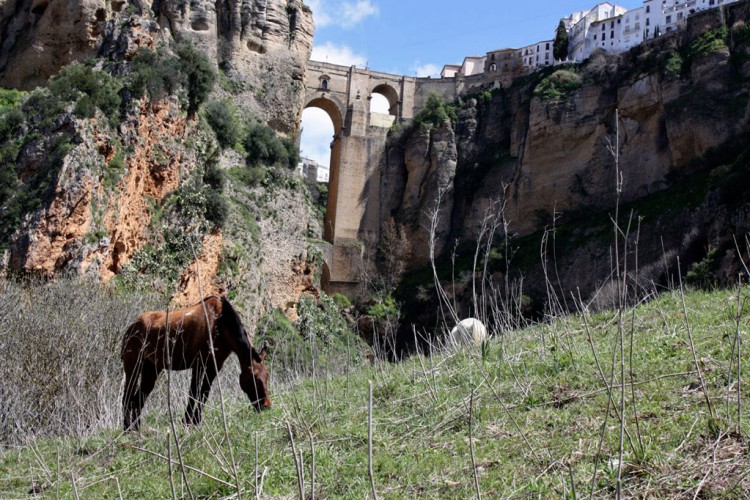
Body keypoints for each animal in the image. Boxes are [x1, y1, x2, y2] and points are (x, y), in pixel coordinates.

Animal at [123, 296, 274, 430]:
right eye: (254, 378)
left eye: (267, 376)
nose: (266, 405)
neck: (220, 323)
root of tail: (131, 328)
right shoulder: (199, 364)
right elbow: (194, 393)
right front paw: (187, 423)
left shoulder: (214, 366)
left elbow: (204, 393)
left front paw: (196, 421)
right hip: (133, 366)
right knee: (127, 397)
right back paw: (127, 429)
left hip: (151, 370)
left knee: (137, 400)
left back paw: (136, 428)